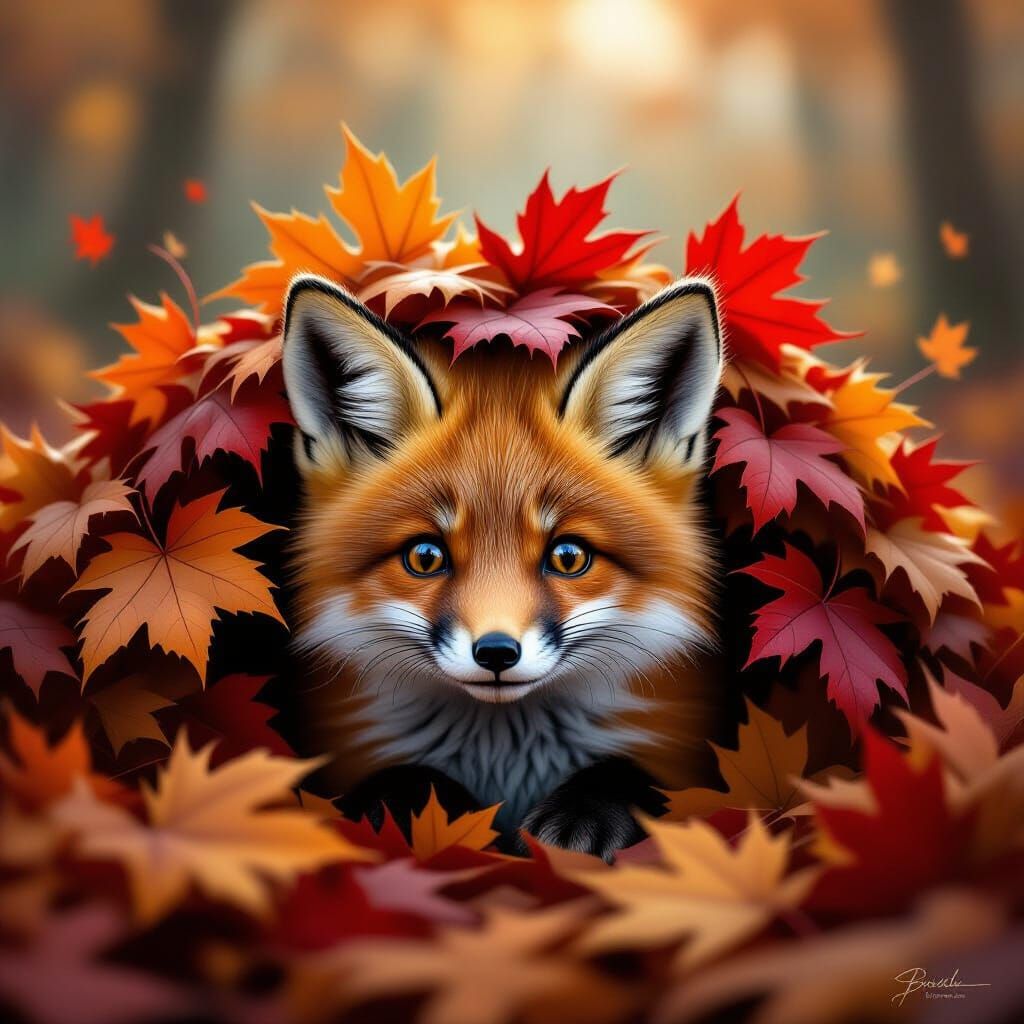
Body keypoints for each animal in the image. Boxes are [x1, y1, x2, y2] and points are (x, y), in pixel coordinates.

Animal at [280, 272, 726, 859]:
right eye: (425, 557)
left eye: (568, 557)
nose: (496, 652)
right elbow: (402, 779)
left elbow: (632, 776)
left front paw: (589, 814)